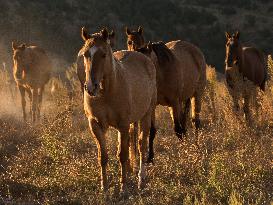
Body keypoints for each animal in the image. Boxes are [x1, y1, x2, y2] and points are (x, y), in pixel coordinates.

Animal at [77, 27, 156, 192]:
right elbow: (103, 156)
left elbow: (122, 155)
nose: (91, 87)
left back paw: (140, 179)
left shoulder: (123, 124)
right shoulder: (96, 125)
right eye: (86, 54)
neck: (106, 92)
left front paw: (123, 187)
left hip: (146, 114)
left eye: (103, 54)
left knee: (141, 145)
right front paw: (105, 187)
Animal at [126, 26, 206, 163]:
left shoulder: (174, 102)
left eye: (141, 40)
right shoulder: (153, 106)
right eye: (129, 42)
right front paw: (150, 158)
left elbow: (177, 129)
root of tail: (195, 50)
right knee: (184, 123)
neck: (161, 73)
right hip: (181, 101)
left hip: (196, 95)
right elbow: (152, 131)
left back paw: (196, 146)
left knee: (195, 122)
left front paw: (183, 152)